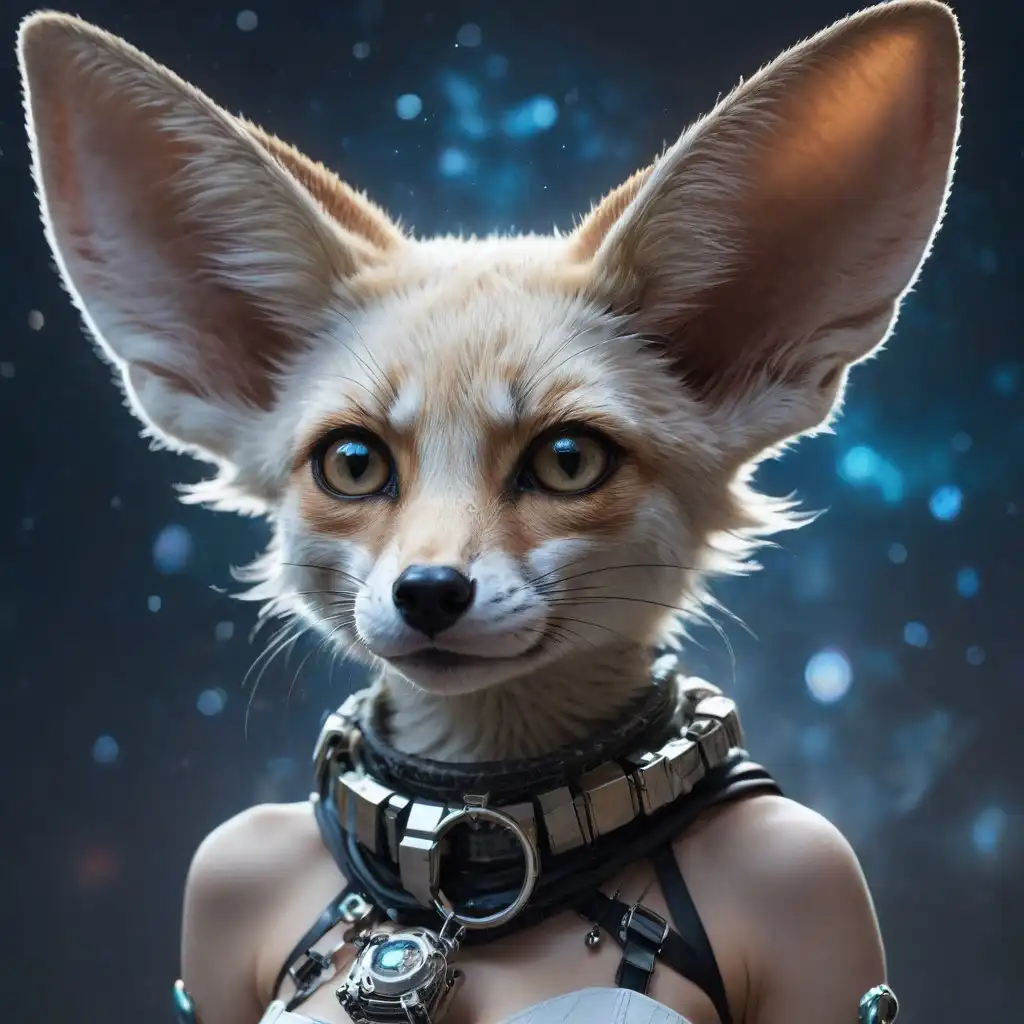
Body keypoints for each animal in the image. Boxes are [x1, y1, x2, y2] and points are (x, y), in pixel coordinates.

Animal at [19, 4, 961, 1024]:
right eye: (353, 464)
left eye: (567, 460)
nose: (430, 591)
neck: (473, 845)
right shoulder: (229, 872)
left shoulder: (809, 879)